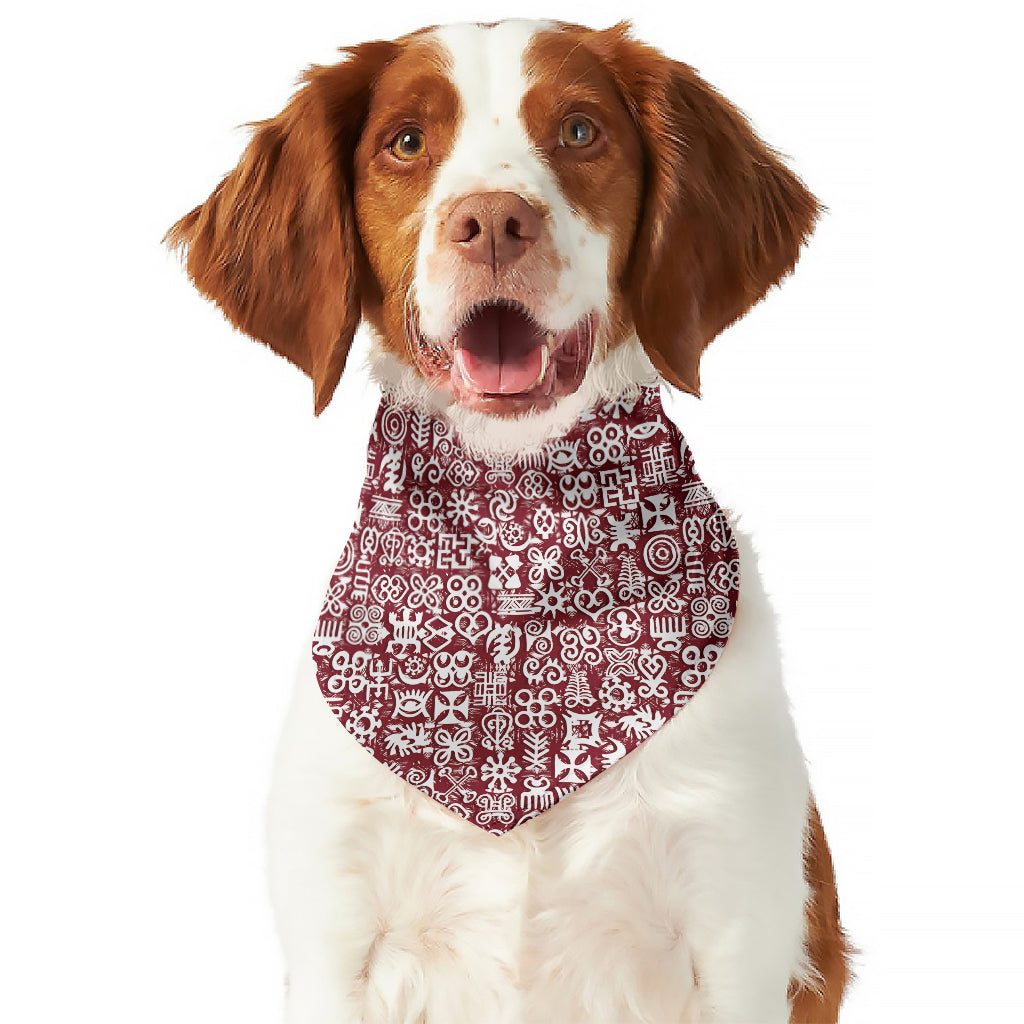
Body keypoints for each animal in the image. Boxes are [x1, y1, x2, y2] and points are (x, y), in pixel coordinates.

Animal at [167, 16, 851, 1024]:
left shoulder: (737, 920)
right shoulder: (336, 928)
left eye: (579, 131)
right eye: (407, 142)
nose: (492, 221)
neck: (515, 538)